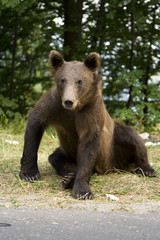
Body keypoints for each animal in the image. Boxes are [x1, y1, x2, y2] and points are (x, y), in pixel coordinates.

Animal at [19, 50, 156, 199]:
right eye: (62, 80)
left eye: (79, 81)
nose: (68, 101)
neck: (75, 108)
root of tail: (111, 167)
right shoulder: (53, 105)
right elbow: (35, 125)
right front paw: (30, 173)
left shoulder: (90, 112)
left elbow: (89, 145)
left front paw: (82, 190)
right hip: (68, 152)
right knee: (56, 158)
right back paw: (69, 177)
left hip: (114, 145)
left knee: (132, 138)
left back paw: (147, 169)